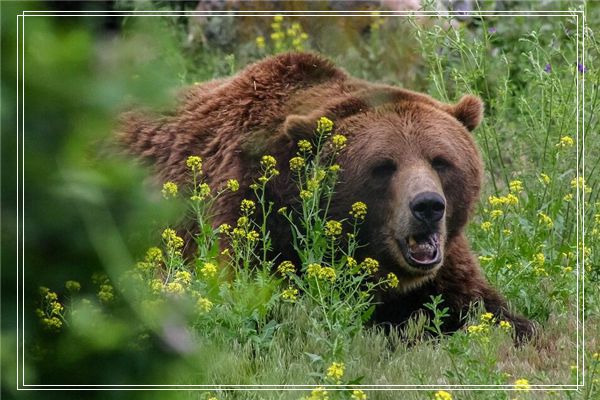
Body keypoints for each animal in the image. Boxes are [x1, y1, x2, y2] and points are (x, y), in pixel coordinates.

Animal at [117, 52, 536, 340]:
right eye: (384, 166)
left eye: (441, 160)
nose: (428, 206)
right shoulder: (254, 223)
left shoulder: (444, 265)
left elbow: (482, 307)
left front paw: (513, 327)